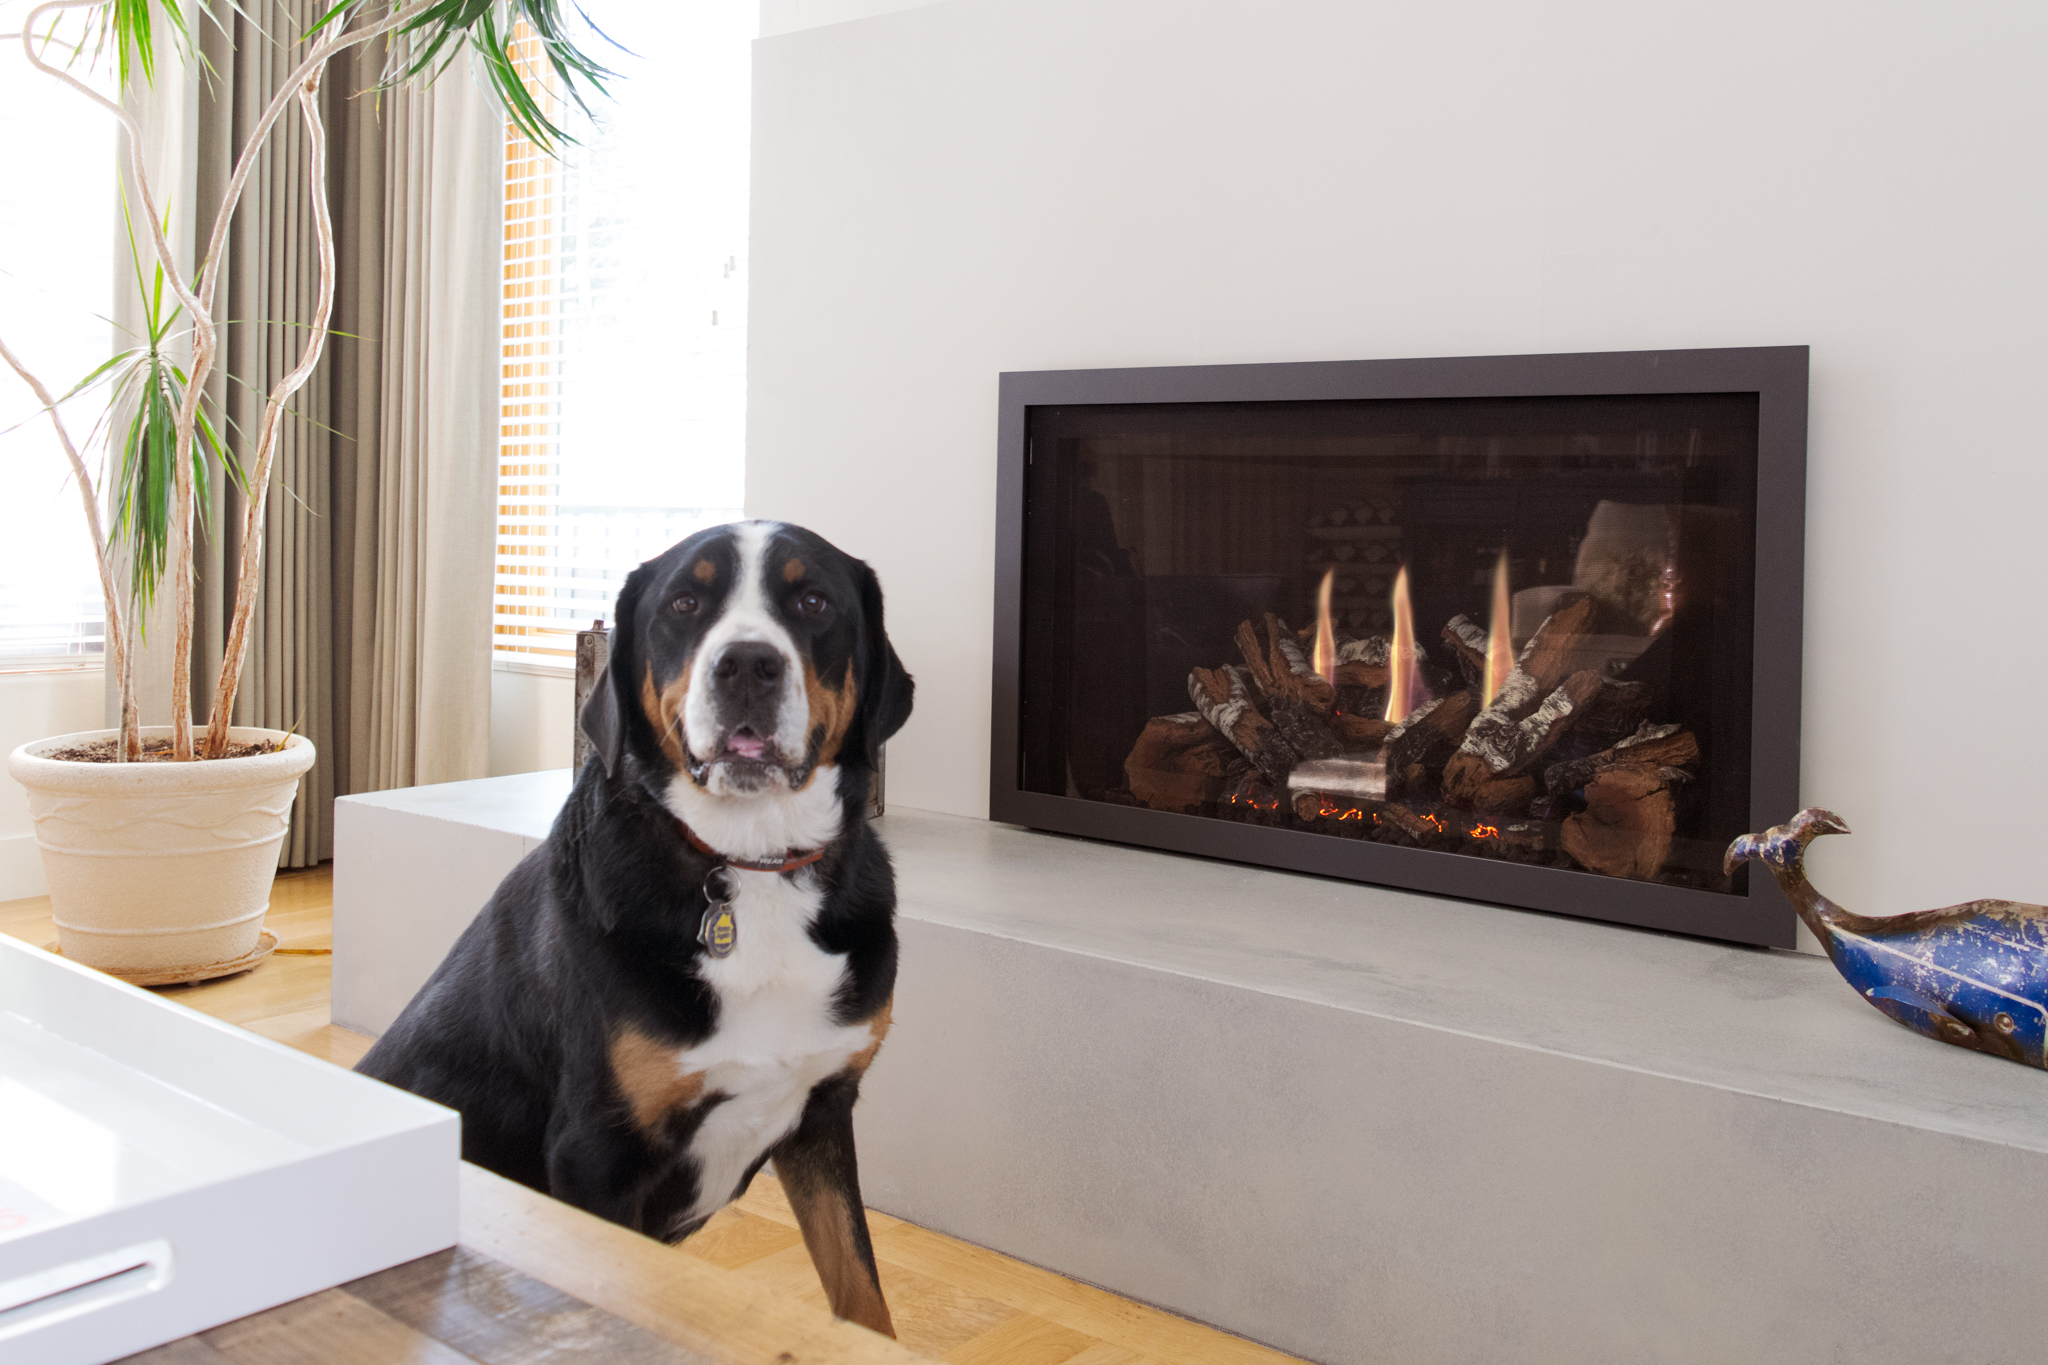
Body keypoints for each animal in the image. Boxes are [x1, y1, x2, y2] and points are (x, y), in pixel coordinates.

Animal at [360, 519, 913, 1334]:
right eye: (685, 601)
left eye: (813, 599)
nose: (747, 664)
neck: (750, 864)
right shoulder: (595, 1149)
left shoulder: (823, 1111)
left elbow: (863, 1291)